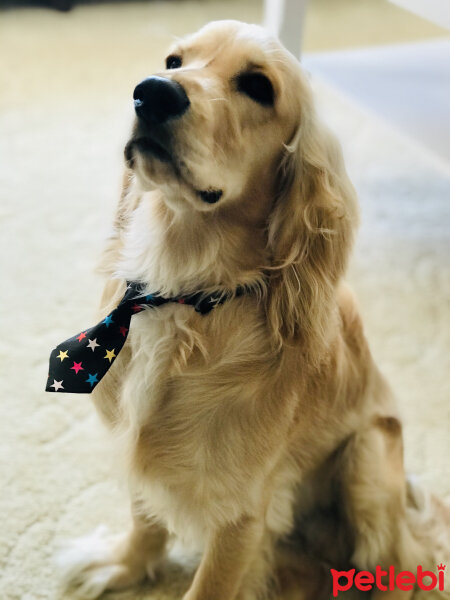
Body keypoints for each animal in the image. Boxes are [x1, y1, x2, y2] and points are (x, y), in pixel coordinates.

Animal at [60, 19, 450, 600]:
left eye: (259, 87)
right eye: (174, 61)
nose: (152, 92)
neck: (187, 292)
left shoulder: (242, 514)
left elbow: (209, 585)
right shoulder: (146, 452)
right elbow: (145, 517)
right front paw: (125, 564)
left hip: (368, 455)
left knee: (397, 564)